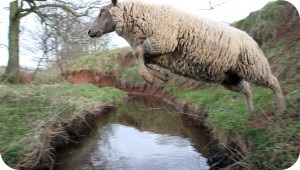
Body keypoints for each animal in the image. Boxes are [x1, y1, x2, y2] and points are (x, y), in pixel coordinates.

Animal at [87, 0, 286, 114]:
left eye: (102, 11)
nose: (89, 32)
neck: (140, 16)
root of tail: (251, 39)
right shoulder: (159, 51)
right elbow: (141, 58)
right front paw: (161, 76)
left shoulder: (164, 41)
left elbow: (138, 54)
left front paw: (150, 79)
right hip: (230, 77)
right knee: (247, 89)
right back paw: (250, 112)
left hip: (253, 66)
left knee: (273, 81)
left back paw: (281, 108)